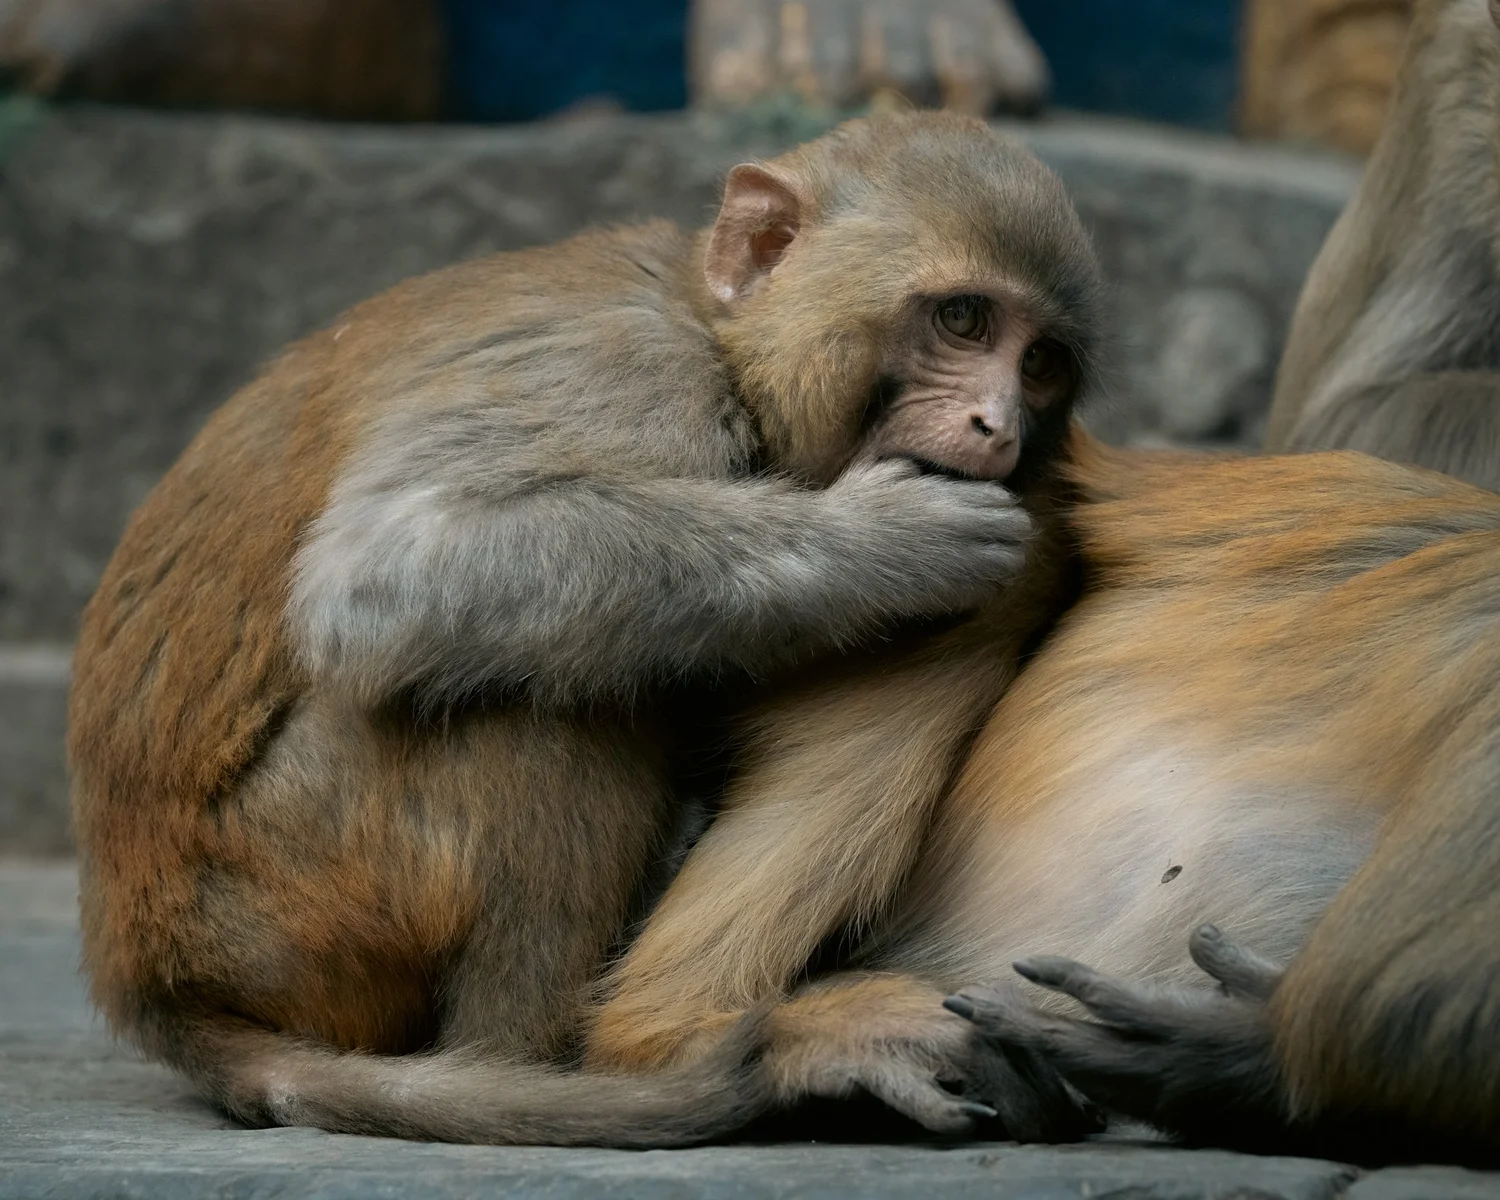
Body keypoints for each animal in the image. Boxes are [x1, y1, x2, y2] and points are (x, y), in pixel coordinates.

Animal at [69, 110, 1103, 1146]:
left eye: (1040, 364)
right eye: (963, 320)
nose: (1000, 425)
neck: (722, 345)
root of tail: (149, 977)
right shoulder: (629, 375)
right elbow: (388, 569)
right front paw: (889, 544)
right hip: (295, 900)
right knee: (527, 699)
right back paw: (538, 1066)